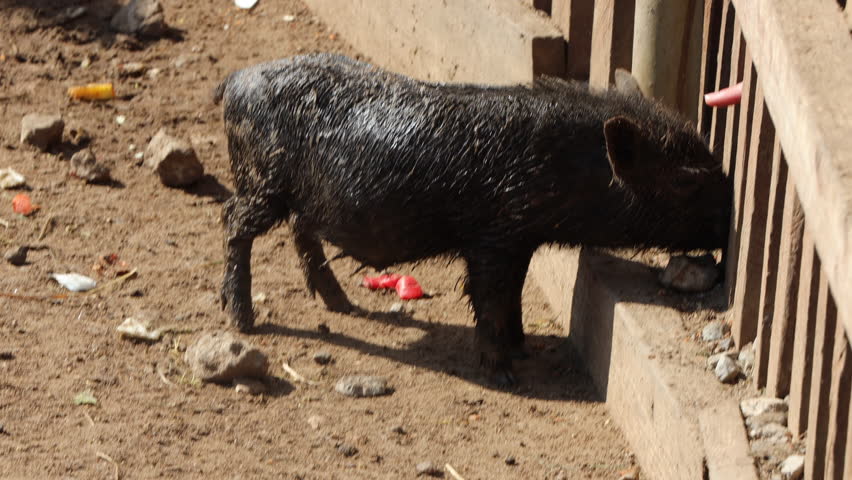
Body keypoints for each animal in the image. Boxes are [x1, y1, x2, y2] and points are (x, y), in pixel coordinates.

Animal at [213, 53, 730, 385]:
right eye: (685, 180)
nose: (730, 222)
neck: (565, 168)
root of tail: (235, 80)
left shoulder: (520, 240)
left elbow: (513, 295)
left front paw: (522, 347)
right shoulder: (492, 238)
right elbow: (489, 298)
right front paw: (504, 374)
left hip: (305, 198)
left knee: (302, 232)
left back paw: (343, 305)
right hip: (262, 181)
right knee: (233, 221)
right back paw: (244, 322)